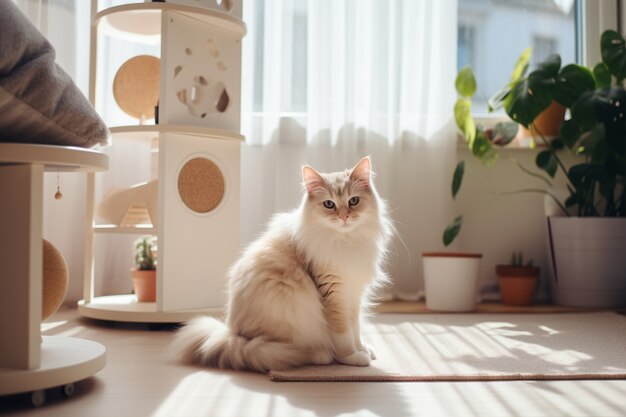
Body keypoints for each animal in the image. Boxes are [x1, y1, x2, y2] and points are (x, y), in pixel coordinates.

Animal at [173, 156, 392, 370]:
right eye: (329, 205)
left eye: (353, 201)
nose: (344, 217)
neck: (346, 241)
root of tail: (232, 335)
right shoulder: (335, 294)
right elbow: (343, 333)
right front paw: (352, 356)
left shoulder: (353, 293)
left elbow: (356, 328)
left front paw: (363, 348)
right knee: (286, 352)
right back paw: (321, 355)